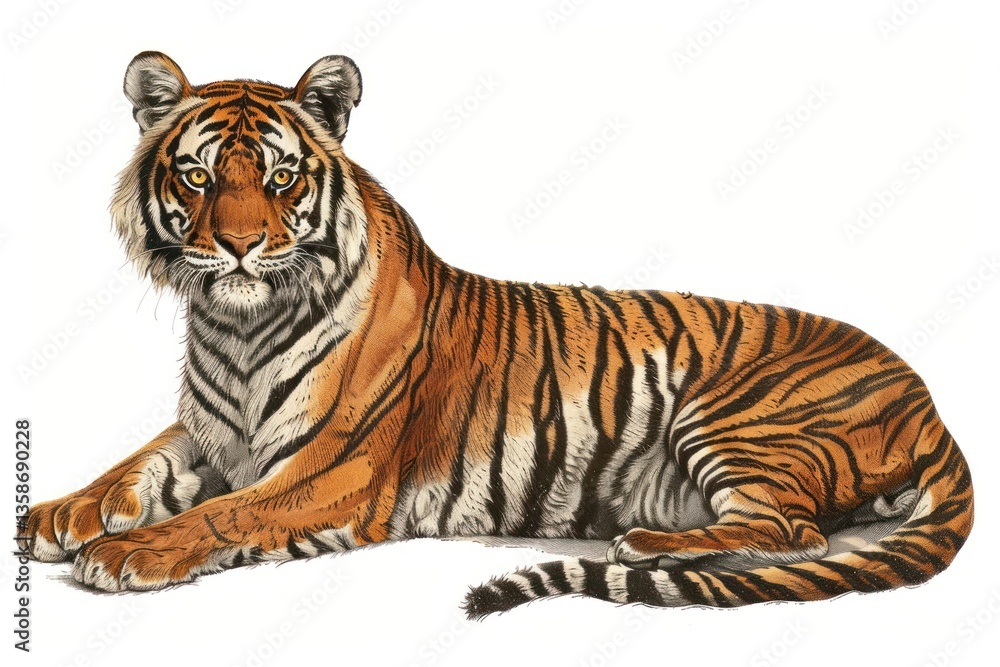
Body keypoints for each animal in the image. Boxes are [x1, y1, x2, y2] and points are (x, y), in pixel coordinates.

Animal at [17, 52, 973, 619]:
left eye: (283, 178)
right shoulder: (214, 429)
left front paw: (124, 551)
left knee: (793, 530)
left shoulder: (330, 467)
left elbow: (221, 513)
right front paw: (58, 514)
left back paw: (644, 545)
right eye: (200, 176)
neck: (238, 324)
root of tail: (928, 399)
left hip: (734, 416)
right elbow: (139, 461)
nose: (241, 244)